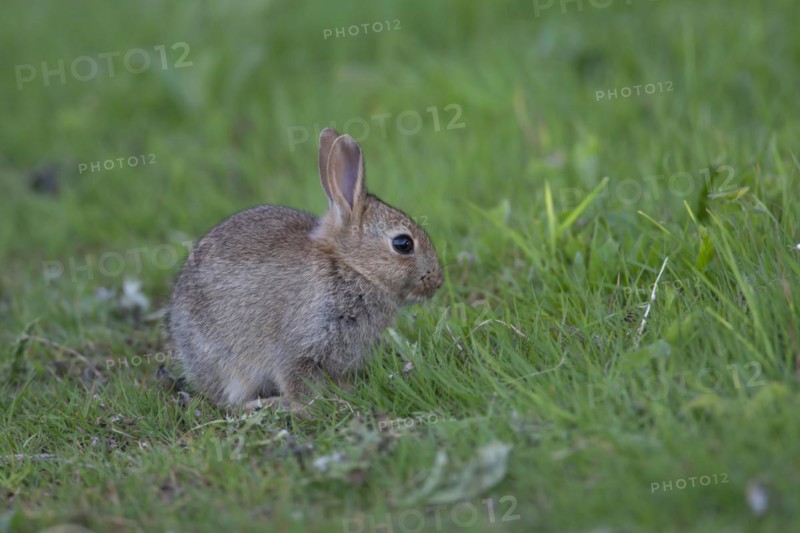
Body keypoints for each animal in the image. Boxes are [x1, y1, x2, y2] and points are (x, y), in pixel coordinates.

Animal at [167, 128, 443, 414]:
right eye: (403, 244)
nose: (437, 281)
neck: (350, 267)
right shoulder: (299, 346)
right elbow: (297, 382)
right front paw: (317, 406)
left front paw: (345, 392)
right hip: (228, 366)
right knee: (229, 401)